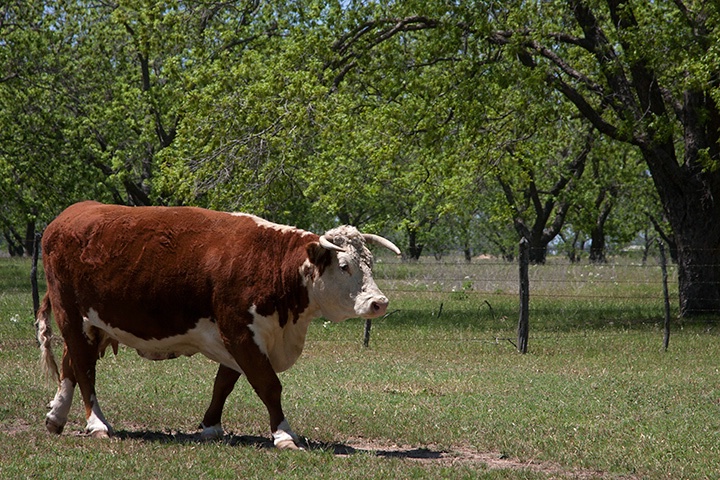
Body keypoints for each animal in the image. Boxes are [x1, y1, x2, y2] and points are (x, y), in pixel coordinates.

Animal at [36, 201, 400, 448]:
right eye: (344, 265)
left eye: (369, 262)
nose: (378, 302)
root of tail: (68, 215)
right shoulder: (240, 331)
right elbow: (268, 385)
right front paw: (283, 433)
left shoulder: (241, 338)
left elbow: (223, 383)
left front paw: (211, 426)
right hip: (70, 312)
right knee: (84, 368)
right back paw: (97, 423)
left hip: (92, 322)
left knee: (71, 364)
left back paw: (56, 417)